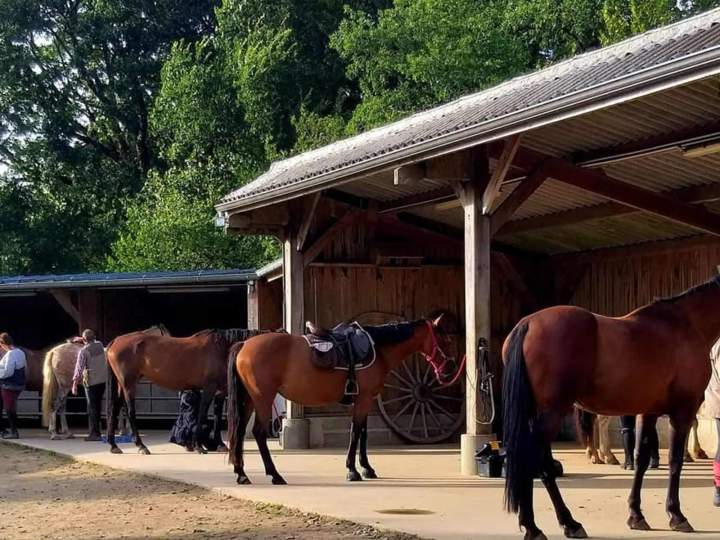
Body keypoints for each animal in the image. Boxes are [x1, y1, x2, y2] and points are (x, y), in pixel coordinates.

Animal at [106, 327, 255, 455]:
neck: (221, 349)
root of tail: (114, 342)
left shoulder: (220, 391)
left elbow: (217, 416)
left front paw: (220, 445)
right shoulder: (209, 388)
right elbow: (202, 413)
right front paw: (198, 446)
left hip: (122, 384)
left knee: (114, 407)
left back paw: (114, 445)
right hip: (128, 384)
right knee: (130, 411)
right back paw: (141, 446)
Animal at [226, 316, 456, 485]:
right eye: (445, 340)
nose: (450, 369)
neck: (378, 348)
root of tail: (244, 344)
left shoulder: (364, 400)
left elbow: (363, 433)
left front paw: (367, 468)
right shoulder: (364, 399)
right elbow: (355, 432)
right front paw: (352, 471)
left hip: (249, 400)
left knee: (239, 431)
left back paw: (242, 474)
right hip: (263, 399)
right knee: (258, 432)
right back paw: (275, 475)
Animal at [502, 275, 720, 540]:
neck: (686, 324)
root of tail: (527, 324)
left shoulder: (648, 412)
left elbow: (640, 459)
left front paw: (636, 515)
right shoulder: (683, 411)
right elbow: (675, 460)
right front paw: (676, 515)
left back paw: (558, 523)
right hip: (551, 414)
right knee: (536, 464)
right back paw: (547, 526)